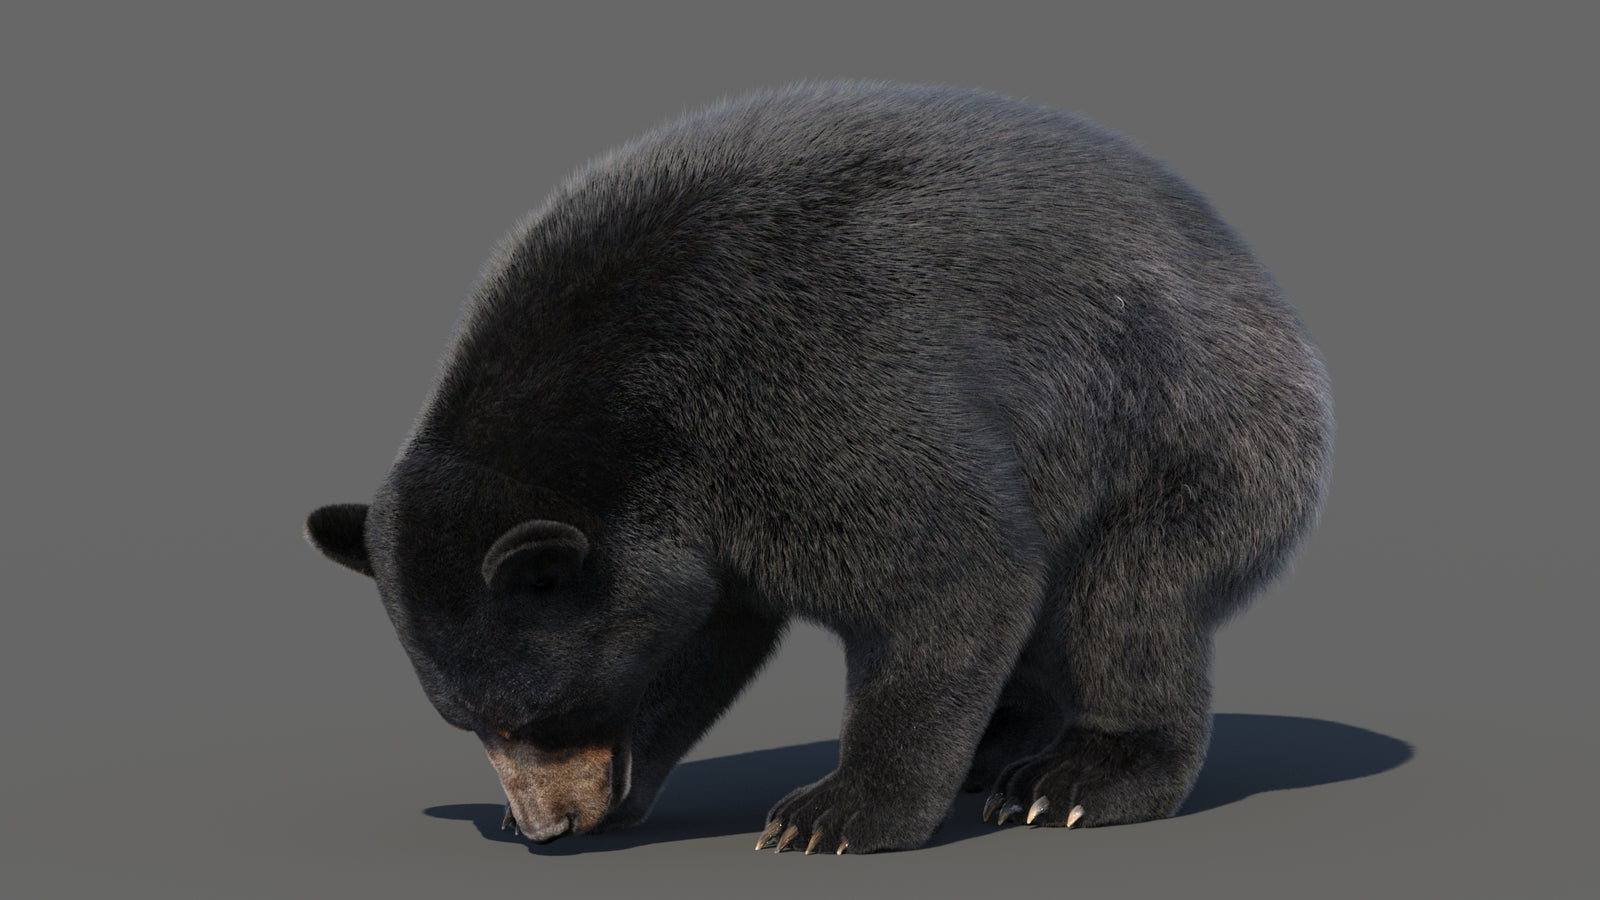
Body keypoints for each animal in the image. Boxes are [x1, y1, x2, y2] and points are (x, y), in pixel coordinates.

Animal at [305, 80, 1333, 854]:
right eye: (469, 722)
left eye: (537, 715)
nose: (546, 827)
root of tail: (1263, 285)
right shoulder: (697, 519)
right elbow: (702, 632)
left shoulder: (807, 390)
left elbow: (952, 567)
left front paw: (835, 813)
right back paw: (1001, 742)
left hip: (1183, 428)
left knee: (1129, 600)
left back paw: (1075, 778)